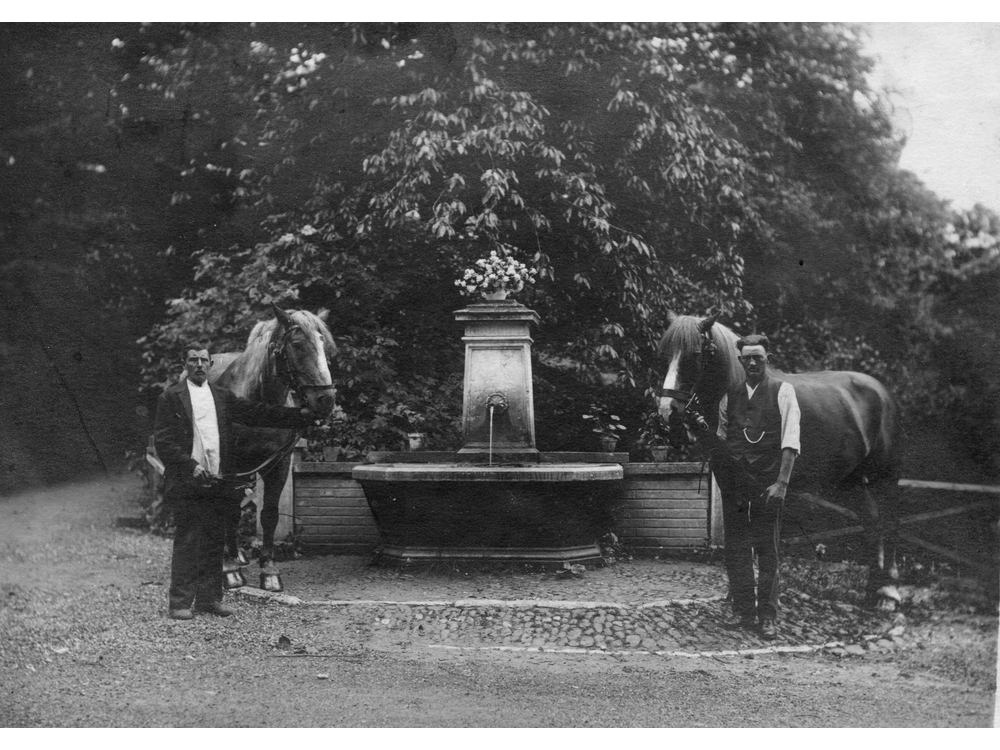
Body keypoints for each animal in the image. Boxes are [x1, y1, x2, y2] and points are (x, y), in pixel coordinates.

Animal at [209, 306, 338, 592]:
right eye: (298, 344)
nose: (325, 400)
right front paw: (230, 570)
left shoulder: (278, 464)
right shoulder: (231, 466)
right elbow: (230, 510)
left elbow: (268, 515)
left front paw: (269, 572)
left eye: (324, 345)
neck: (259, 404)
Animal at [660, 312, 904, 612]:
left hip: (886, 477)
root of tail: (882, 392)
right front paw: (736, 595)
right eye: (665, 354)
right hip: (854, 480)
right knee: (872, 523)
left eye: (694, 354)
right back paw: (872, 594)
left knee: (890, 523)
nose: (667, 411)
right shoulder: (728, 480)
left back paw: (889, 594)